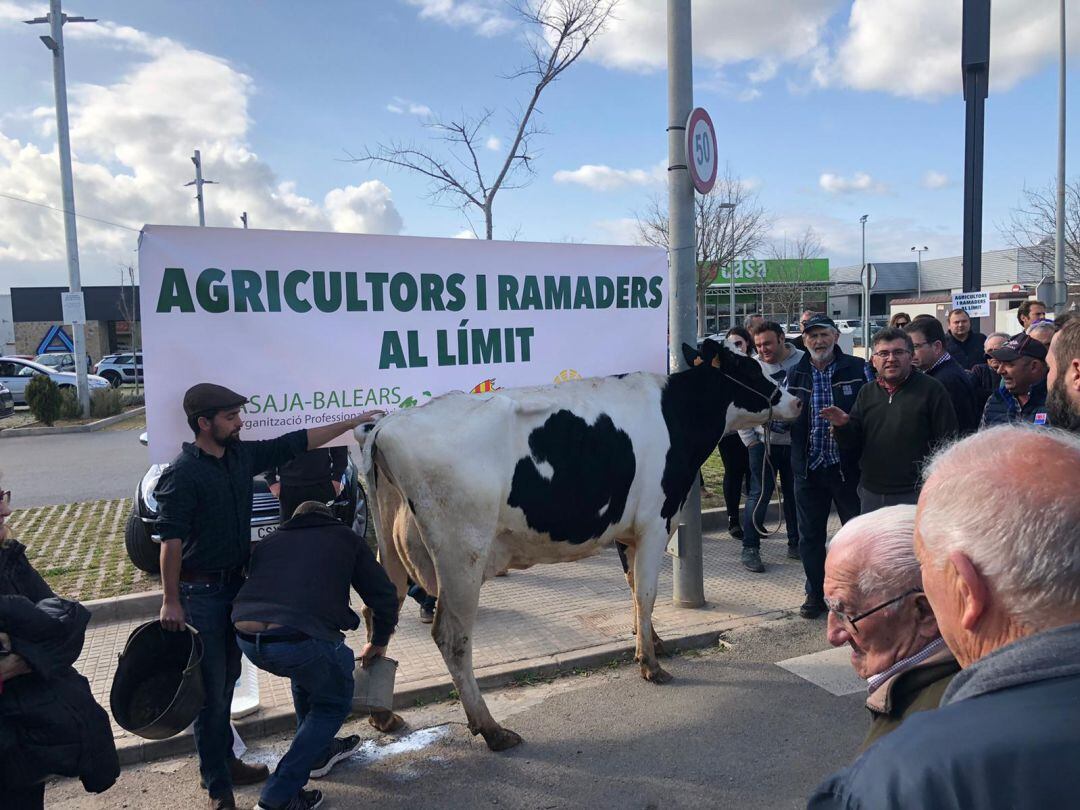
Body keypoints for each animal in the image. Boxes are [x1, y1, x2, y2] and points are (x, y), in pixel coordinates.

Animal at [356, 339, 803, 751]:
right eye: (750, 369)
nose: (798, 399)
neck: (677, 414)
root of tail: (387, 424)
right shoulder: (655, 522)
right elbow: (647, 592)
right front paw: (651, 665)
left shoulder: (627, 530)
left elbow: (634, 591)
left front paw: (652, 642)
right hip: (461, 555)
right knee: (452, 636)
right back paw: (491, 729)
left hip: (390, 551)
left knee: (379, 608)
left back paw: (383, 714)